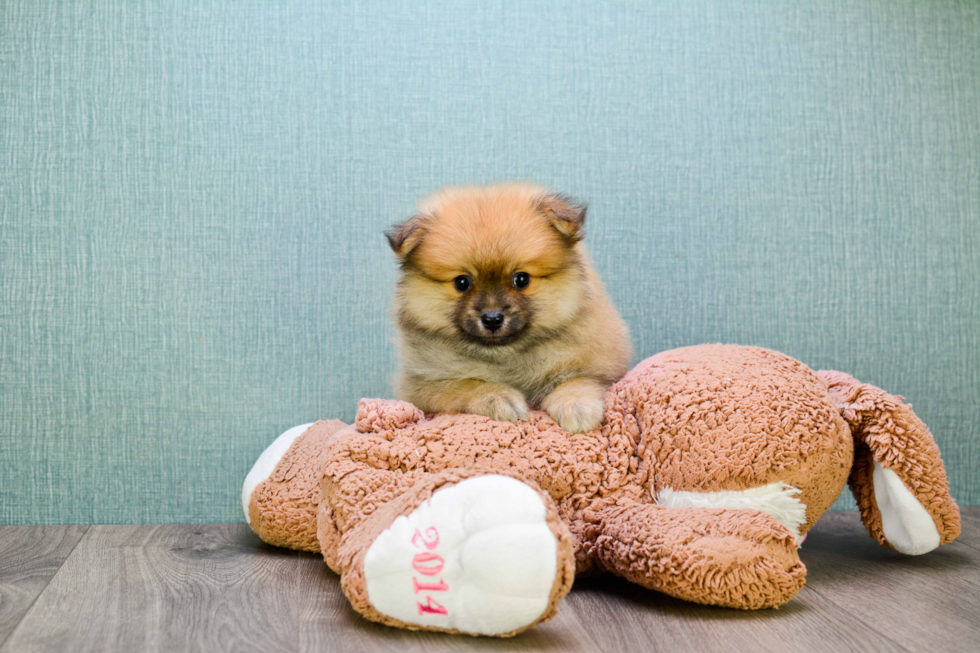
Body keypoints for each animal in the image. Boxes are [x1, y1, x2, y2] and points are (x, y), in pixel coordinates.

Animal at [386, 182, 632, 432]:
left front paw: (576, 407)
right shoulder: (419, 387)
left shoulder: (603, 366)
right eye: (462, 283)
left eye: (521, 279)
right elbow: (465, 384)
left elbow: (578, 380)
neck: (504, 355)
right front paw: (499, 397)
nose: (492, 318)